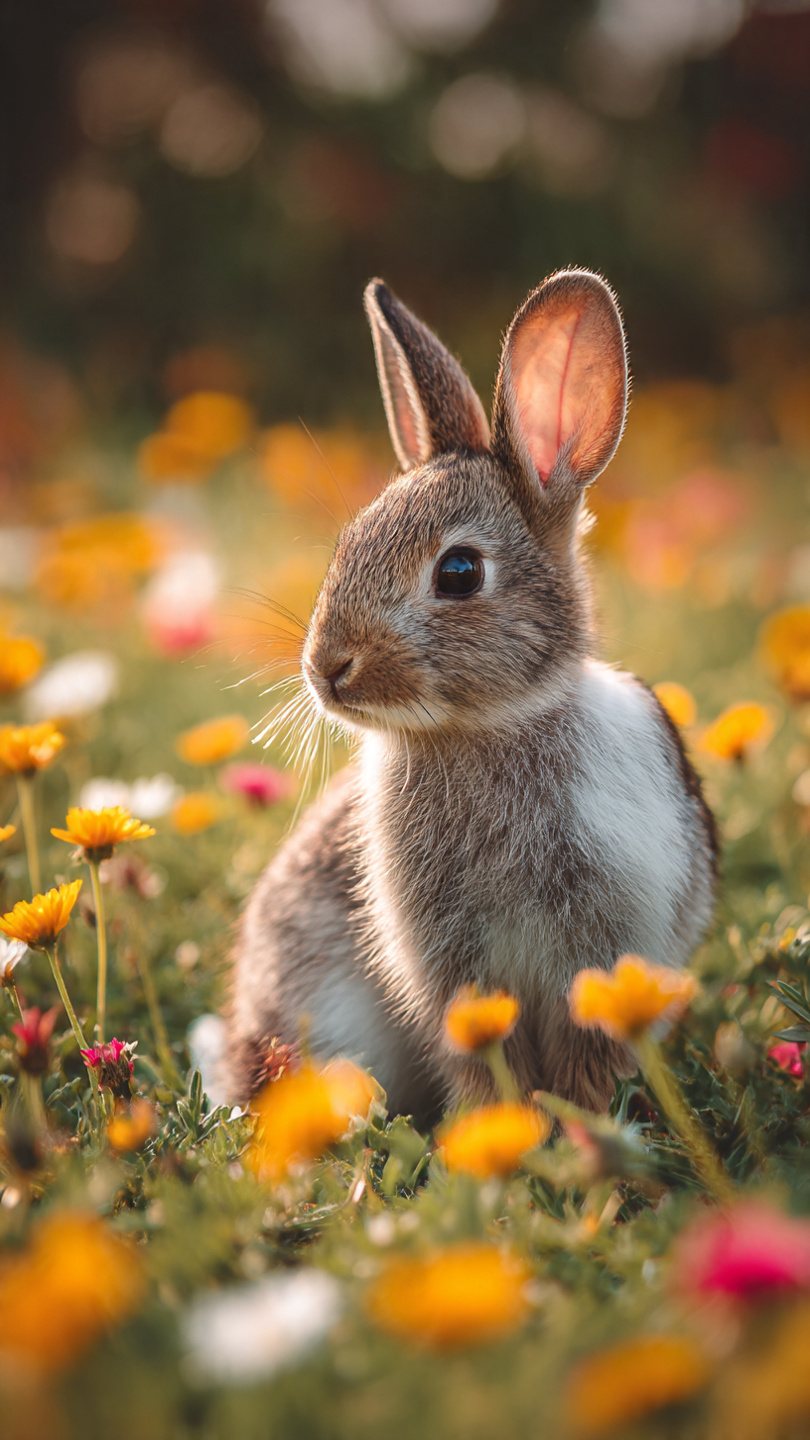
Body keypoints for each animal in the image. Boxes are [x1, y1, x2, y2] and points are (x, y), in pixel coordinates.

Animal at [226, 268, 717, 1118]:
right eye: (348, 545)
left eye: (458, 572)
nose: (327, 668)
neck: (483, 726)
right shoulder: (448, 960)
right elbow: (483, 1050)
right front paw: (503, 1128)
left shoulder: (605, 942)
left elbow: (588, 1050)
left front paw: (580, 1122)